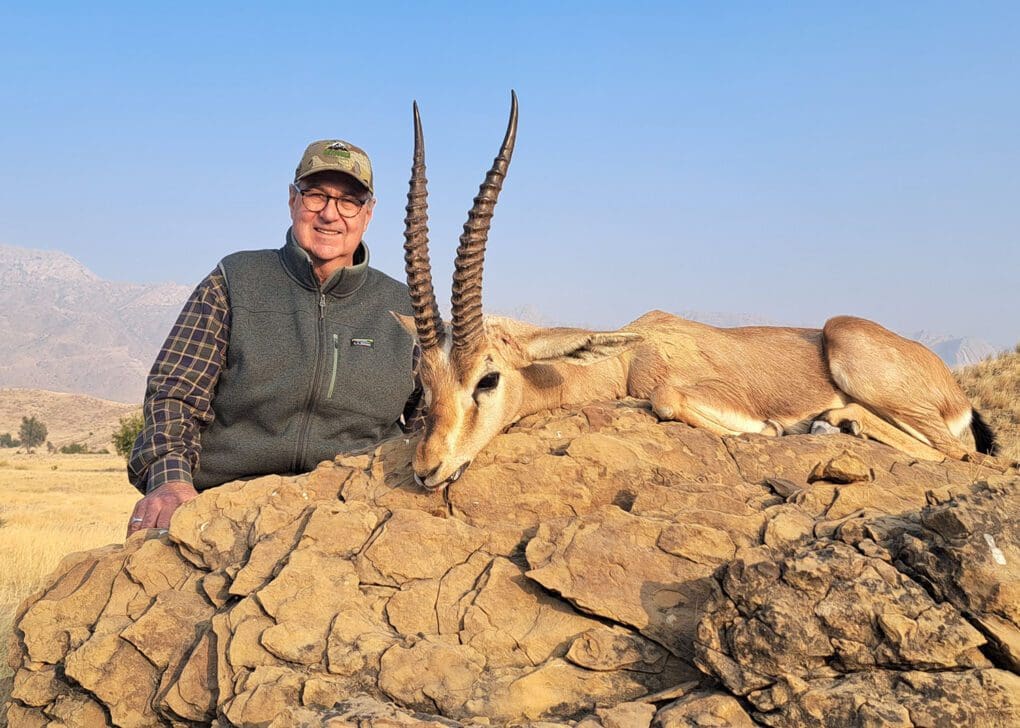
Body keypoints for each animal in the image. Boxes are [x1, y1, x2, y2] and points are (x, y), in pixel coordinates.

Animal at [398, 93, 999, 491]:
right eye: (423, 380)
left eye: (488, 378)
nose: (427, 469)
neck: (627, 359)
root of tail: (955, 392)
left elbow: (669, 399)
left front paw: (772, 428)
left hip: (849, 341)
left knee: (964, 456)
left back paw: (831, 421)